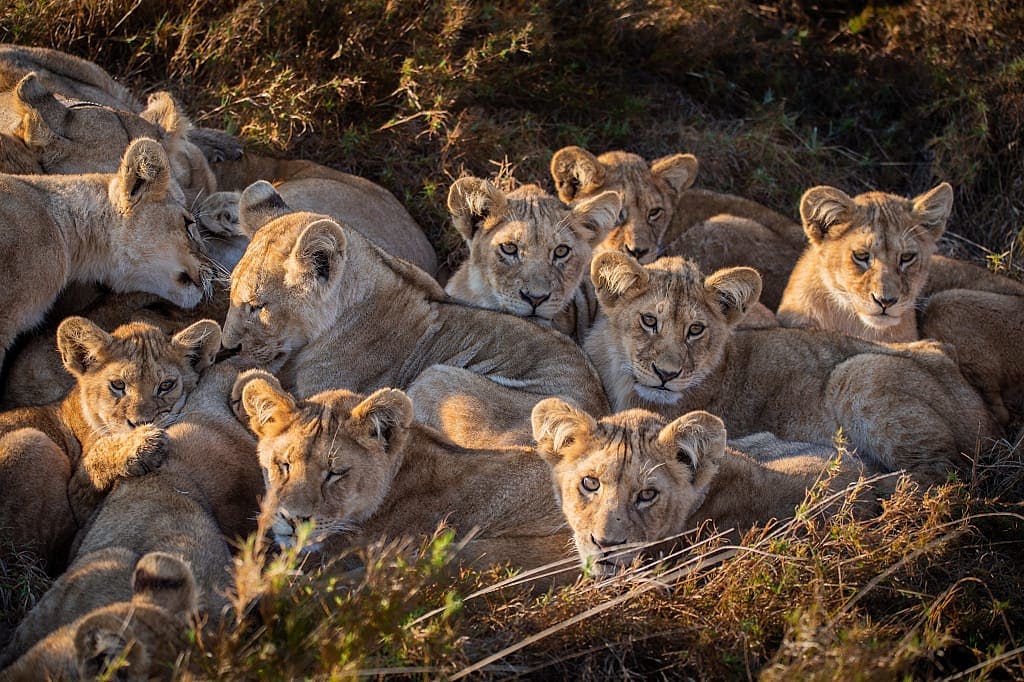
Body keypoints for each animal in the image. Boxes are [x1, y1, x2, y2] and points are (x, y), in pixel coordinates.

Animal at [0, 316, 221, 572]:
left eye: (166, 385)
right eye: (117, 385)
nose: (141, 422)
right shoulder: (78, 494)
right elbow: (99, 455)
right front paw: (142, 445)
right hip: (29, 442)